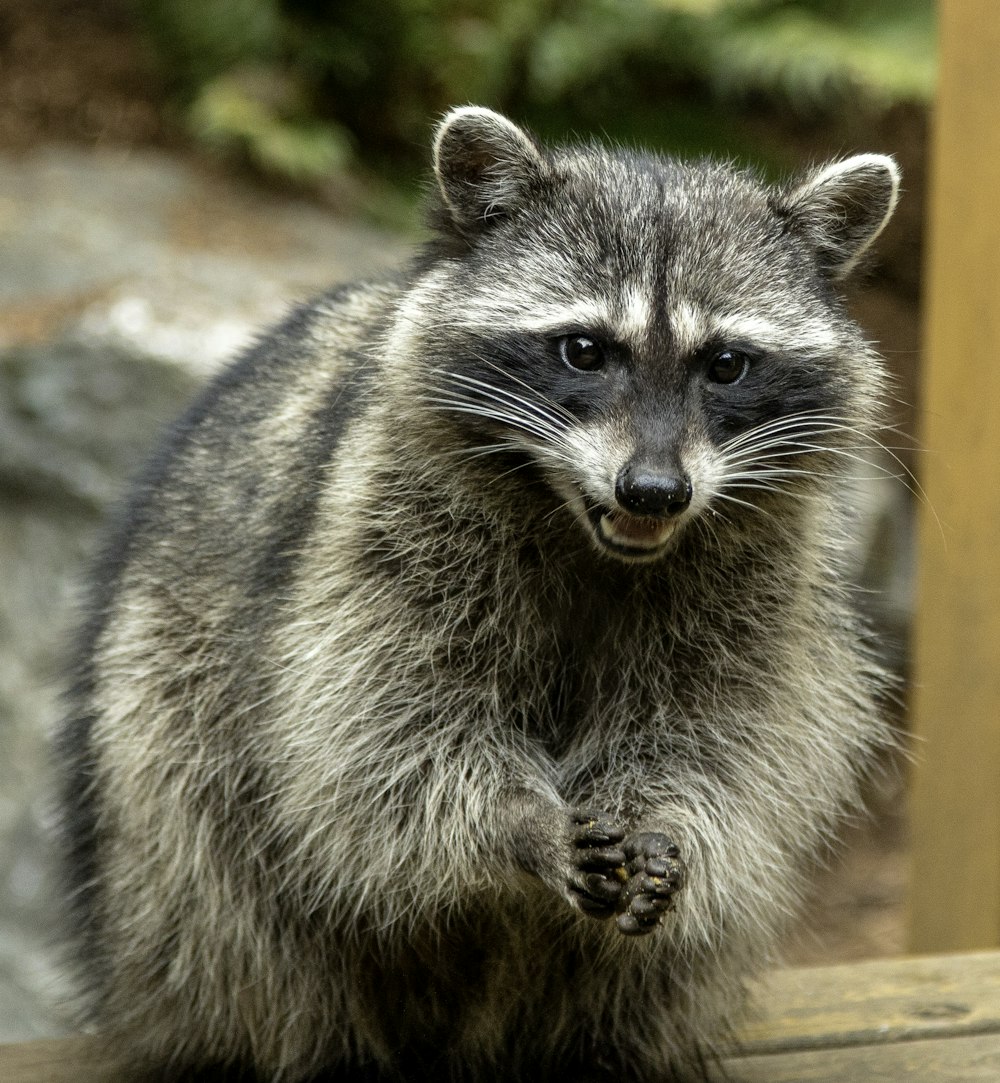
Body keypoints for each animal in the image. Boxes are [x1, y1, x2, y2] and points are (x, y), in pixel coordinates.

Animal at [54, 103, 901, 1083]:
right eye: (584, 350)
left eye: (725, 364)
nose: (655, 491)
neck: (590, 533)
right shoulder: (375, 537)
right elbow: (385, 733)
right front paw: (517, 822)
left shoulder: (758, 582)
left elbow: (719, 734)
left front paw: (663, 819)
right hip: (156, 770)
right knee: (227, 903)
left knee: (649, 971)